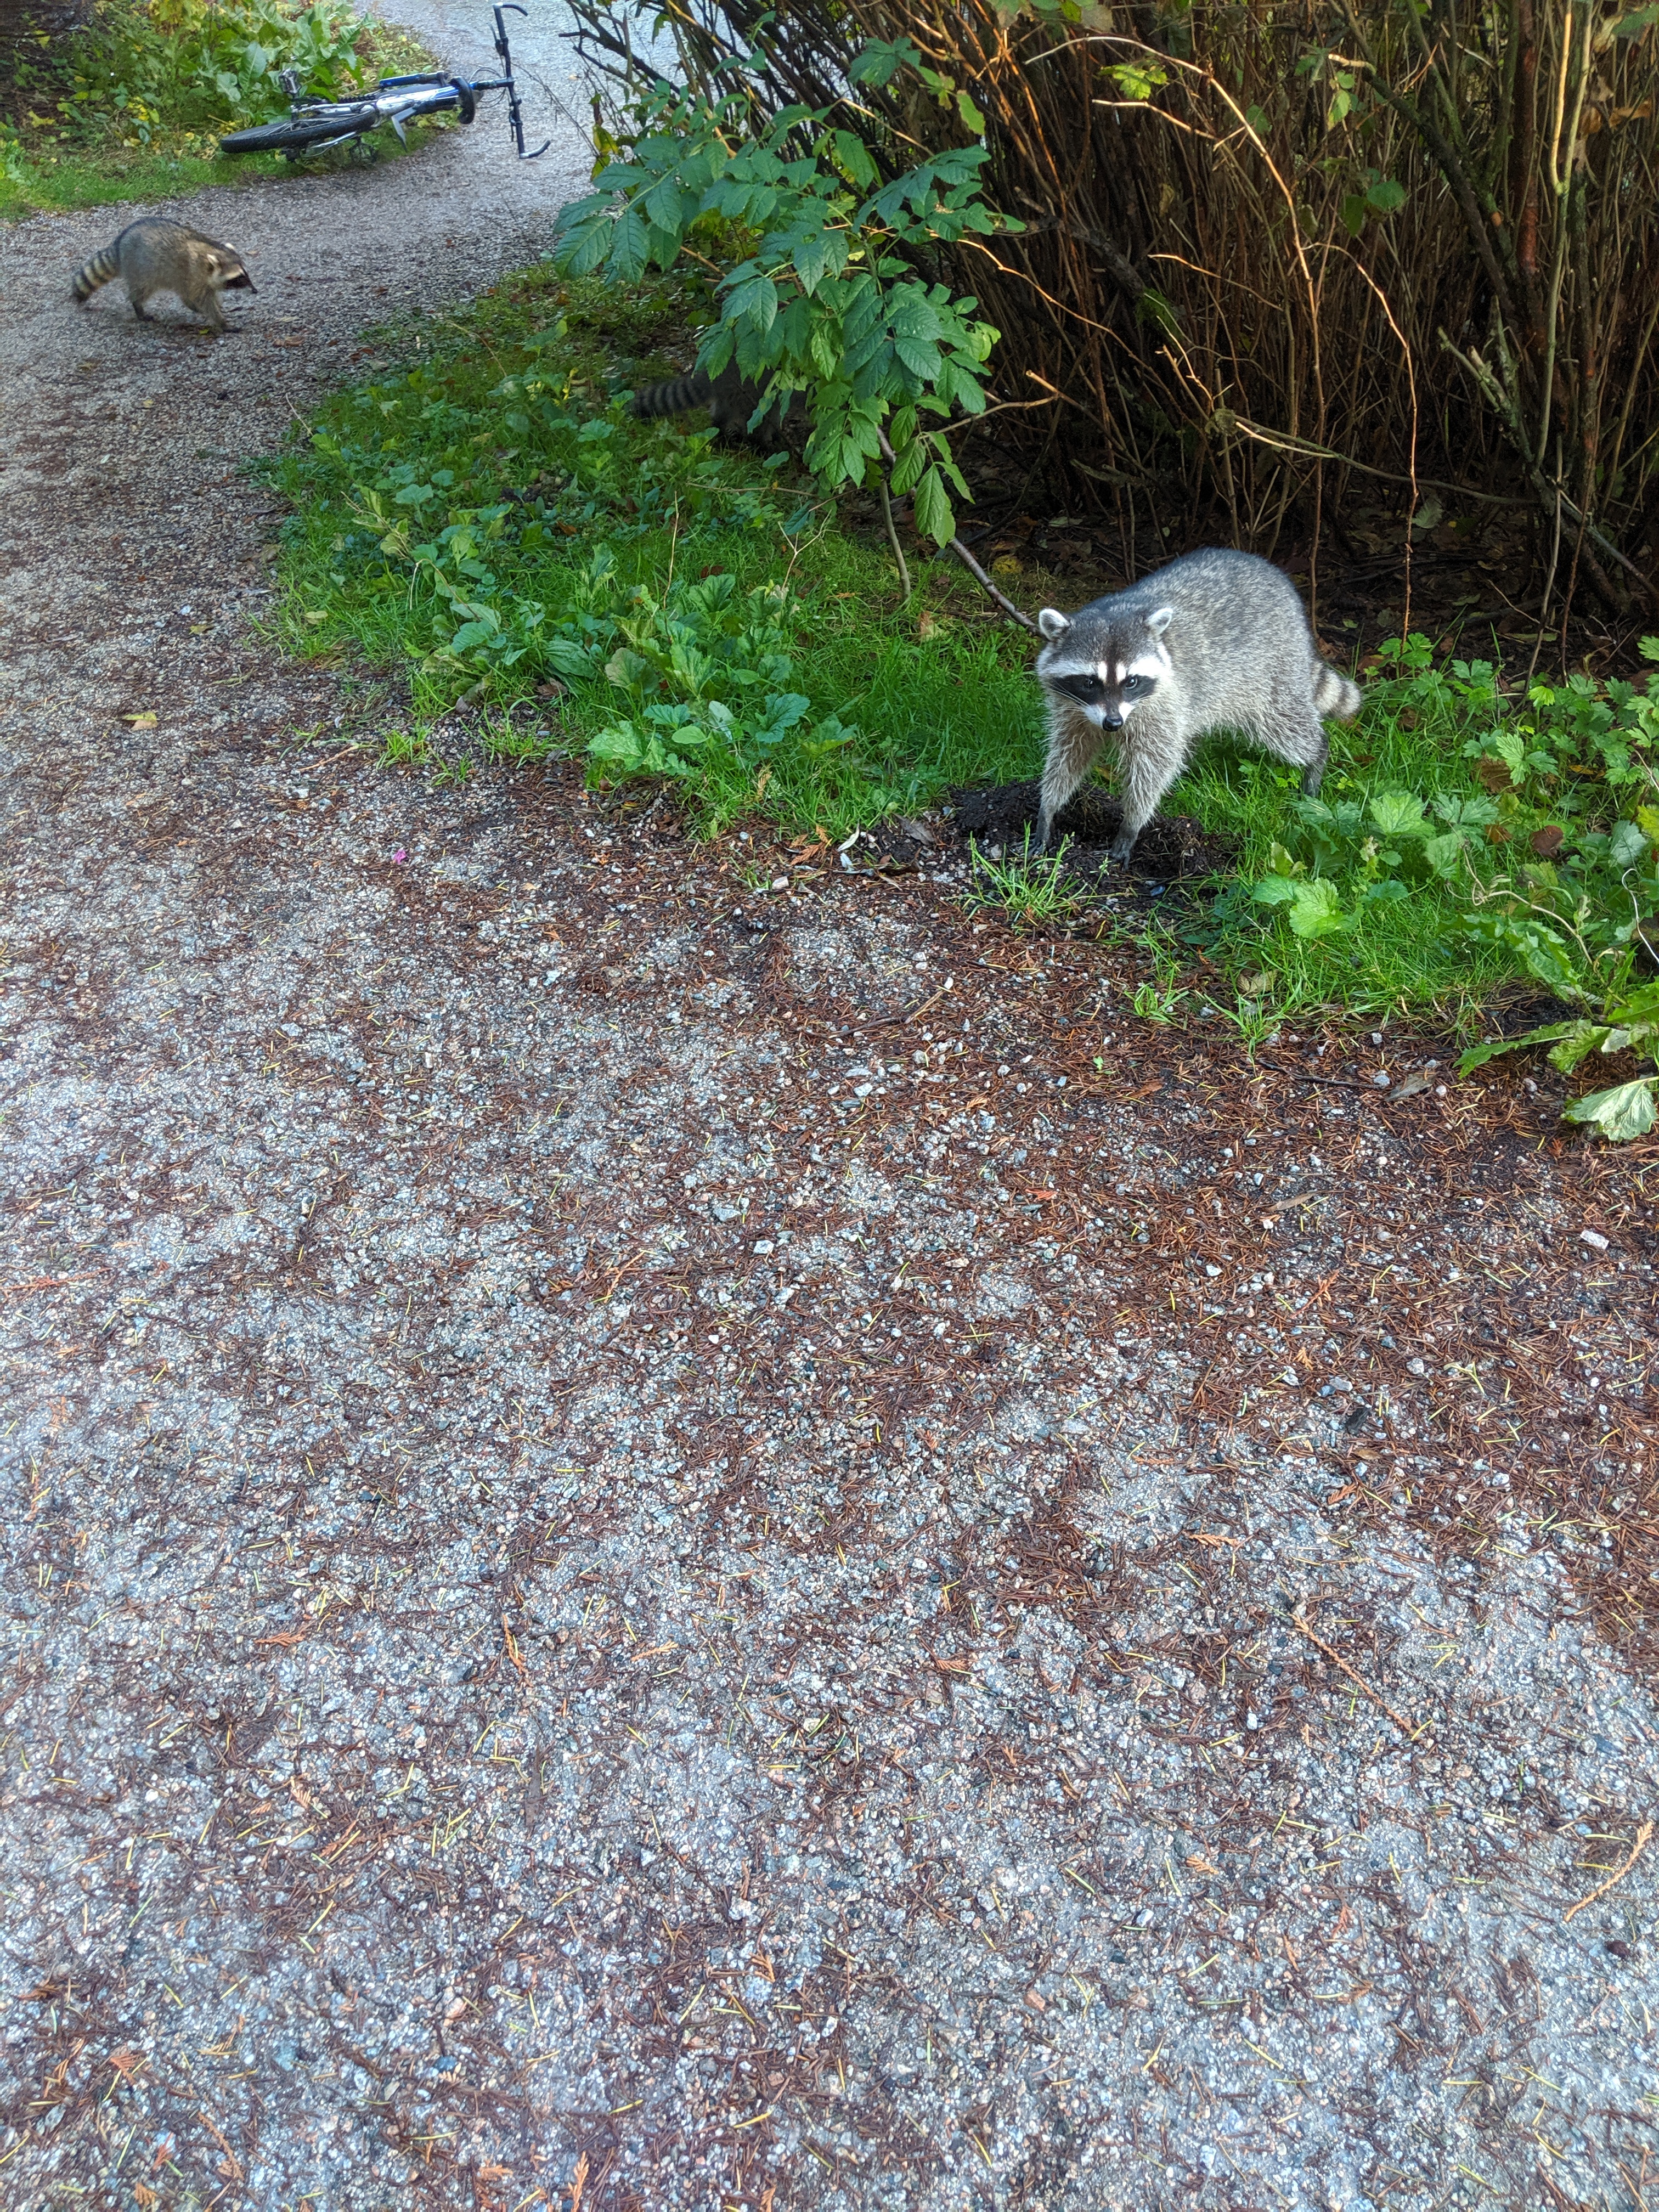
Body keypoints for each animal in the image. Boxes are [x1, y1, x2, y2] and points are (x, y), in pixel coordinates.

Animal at [74, 218, 256, 334]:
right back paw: (138, 306)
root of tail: (119, 245)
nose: (255, 291)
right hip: (142, 270)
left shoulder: (193, 279)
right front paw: (222, 322)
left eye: (245, 274)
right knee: (142, 290)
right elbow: (202, 301)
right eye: (239, 278)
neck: (213, 252)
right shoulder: (194, 275)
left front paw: (218, 305)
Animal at [1040, 548, 1362, 858]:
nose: (1113, 724)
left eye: (1131, 681)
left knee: (1285, 726)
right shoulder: (1072, 708)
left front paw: (1131, 824)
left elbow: (1155, 764)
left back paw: (1317, 755)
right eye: (1089, 682)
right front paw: (1048, 808)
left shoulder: (1163, 704)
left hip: (1270, 674)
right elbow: (1070, 753)